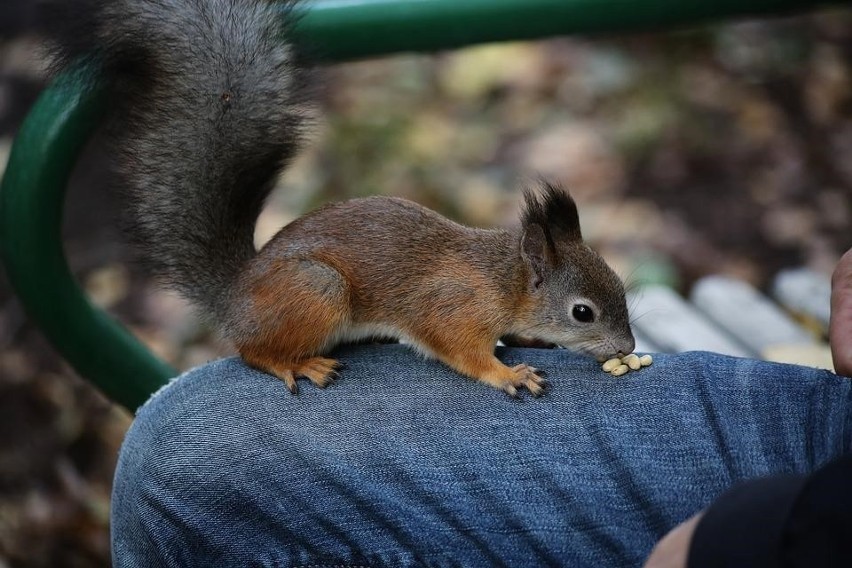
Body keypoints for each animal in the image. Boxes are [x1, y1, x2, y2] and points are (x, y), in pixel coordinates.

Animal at [45, 0, 632, 394]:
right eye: (583, 313)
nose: (627, 348)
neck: (504, 281)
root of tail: (235, 296)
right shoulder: (451, 309)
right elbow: (460, 351)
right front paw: (506, 373)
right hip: (316, 291)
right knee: (251, 352)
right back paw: (296, 363)